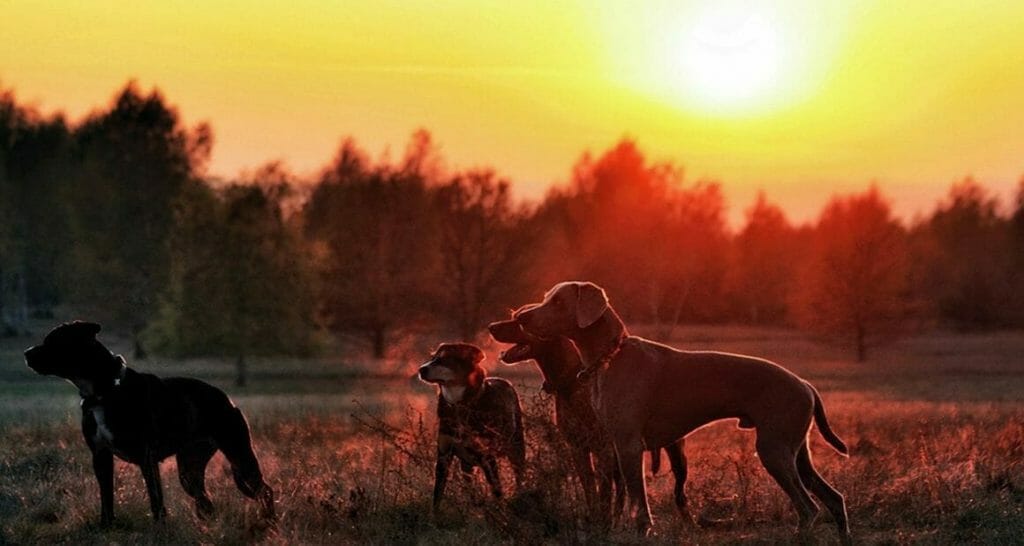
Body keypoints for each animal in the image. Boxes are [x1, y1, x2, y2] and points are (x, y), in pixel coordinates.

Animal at [24, 321, 272, 524]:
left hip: (239, 456)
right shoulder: (100, 455)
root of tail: (228, 400)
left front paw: (160, 528)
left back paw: (268, 522)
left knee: (264, 490)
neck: (104, 390)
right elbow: (106, 497)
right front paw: (106, 527)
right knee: (205, 501)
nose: (26, 352)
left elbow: (155, 498)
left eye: (52, 341)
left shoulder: (146, 457)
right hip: (190, 468)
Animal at [417, 342, 524, 508]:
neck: (459, 404)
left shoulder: (487, 456)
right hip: (466, 463)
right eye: (432, 358)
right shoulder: (443, 455)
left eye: (444, 359)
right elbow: (437, 496)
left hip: (516, 446)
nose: (421, 369)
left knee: (519, 475)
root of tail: (506, 382)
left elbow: (497, 491)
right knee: (469, 484)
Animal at [489, 315, 696, 524]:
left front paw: (604, 523)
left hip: (675, 455)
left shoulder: (602, 449)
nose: (491, 326)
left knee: (679, 494)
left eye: (521, 321)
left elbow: (603, 495)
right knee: (622, 489)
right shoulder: (578, 449)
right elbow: (591, 494)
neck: (571, 380)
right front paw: (598, 521)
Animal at [516, 280, 851, 540]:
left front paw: (641, 532)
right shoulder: (610, 446)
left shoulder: (628, 446)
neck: (610, 357)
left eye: (558, 301)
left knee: (809, 509)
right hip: (796, 453)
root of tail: (805, 384)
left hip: (774, 450)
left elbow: (638, 506)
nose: (521, 316)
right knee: (834, 500)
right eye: (547, 296)